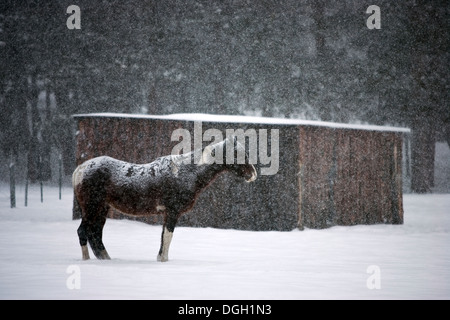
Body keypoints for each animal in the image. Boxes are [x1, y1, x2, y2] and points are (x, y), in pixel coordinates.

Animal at [72, 137, 258, 260]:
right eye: (237, 154)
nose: (252, 174)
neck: (186, 172)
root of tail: (79, 170)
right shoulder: (172, 212)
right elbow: (168, 236)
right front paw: (163, 260)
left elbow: (163, 237)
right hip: (92, 209)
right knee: (83, 232)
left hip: (101, 209)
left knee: (95, 235)